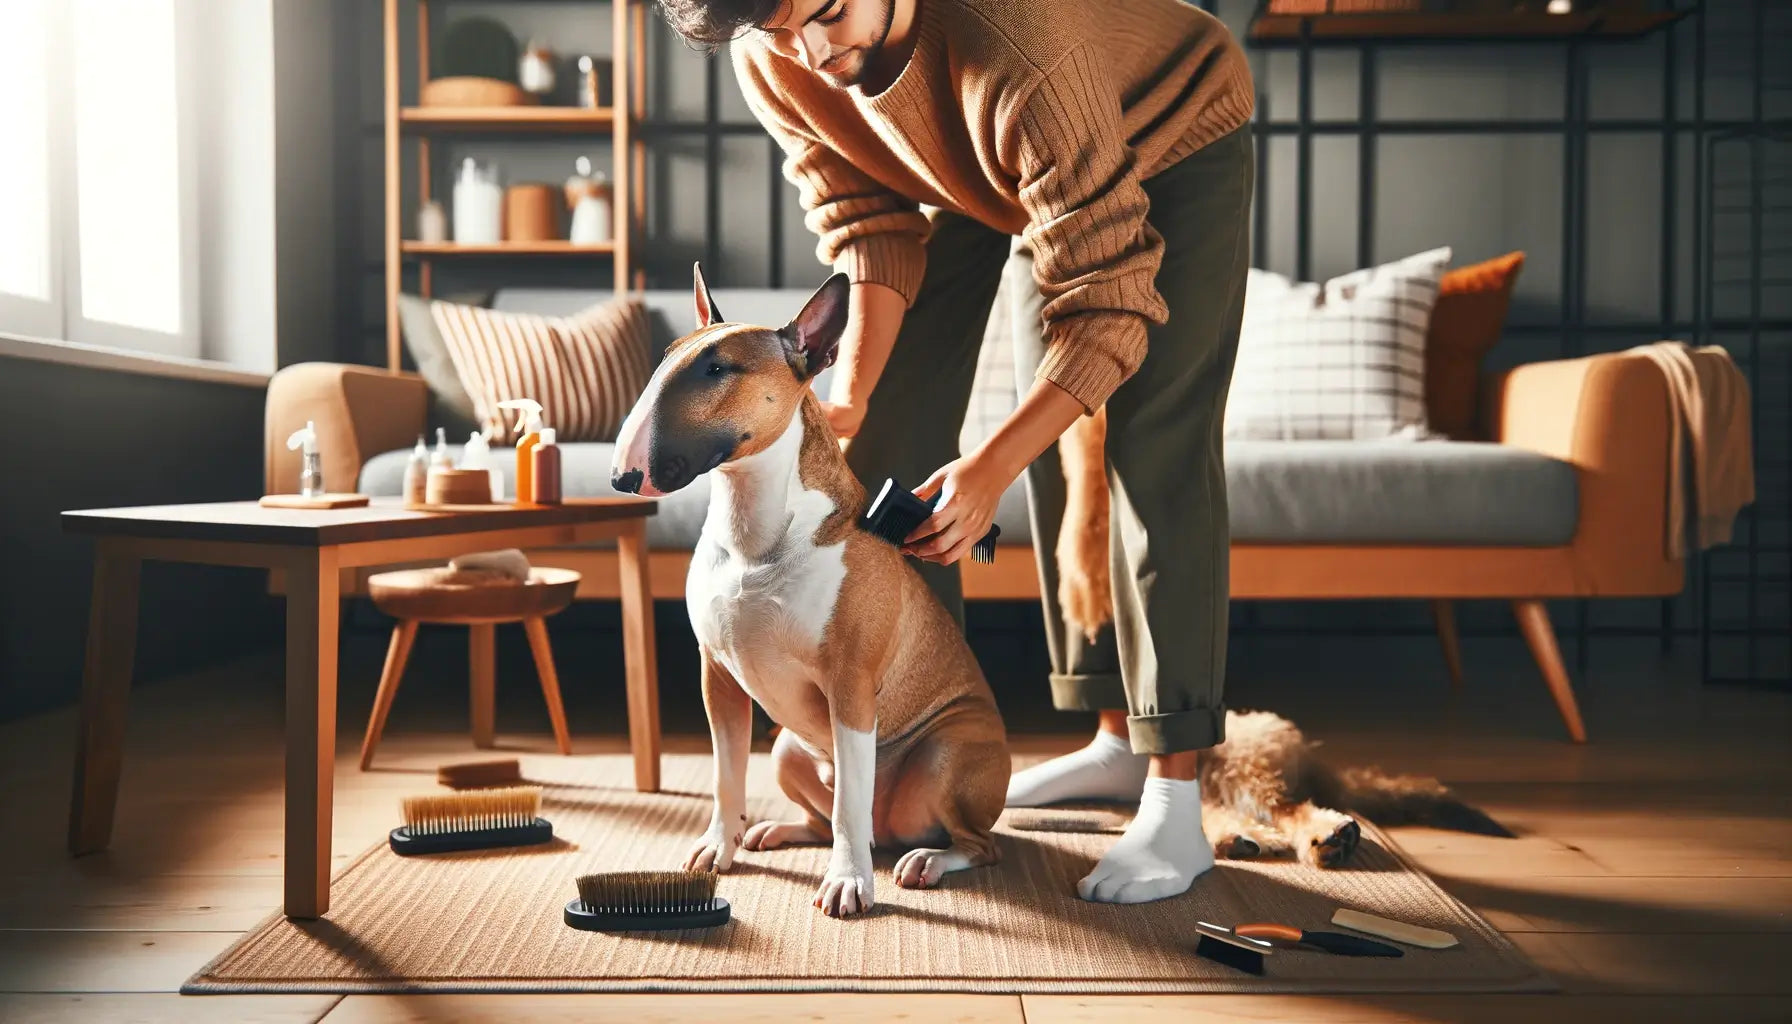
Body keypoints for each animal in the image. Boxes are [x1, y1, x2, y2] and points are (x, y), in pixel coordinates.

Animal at [612, 267, 1010, 918]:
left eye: (718, 369)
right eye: (664, 360)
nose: (624, 476)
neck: (754, 525)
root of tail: (893, 834)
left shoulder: (849, 685)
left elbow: (850, 799)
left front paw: (848, 884)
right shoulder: (716, 675)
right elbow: (725, 773)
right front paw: (718, 847)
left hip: (946, 751)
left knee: (976, 843)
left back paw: (925, 860)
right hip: (788, 750)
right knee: (827, 817)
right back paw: (778, 830)